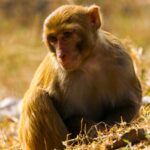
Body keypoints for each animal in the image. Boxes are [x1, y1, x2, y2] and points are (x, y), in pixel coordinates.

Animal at [18, 4, 142, 149]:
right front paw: (93, 129)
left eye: (67, 34)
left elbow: (128, 105)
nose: (61, 55)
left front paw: (103, 129)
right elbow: (69, 116)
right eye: (53, 39)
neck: (88, 62)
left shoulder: (121, 60)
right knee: (35, 97)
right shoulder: (61, 76)